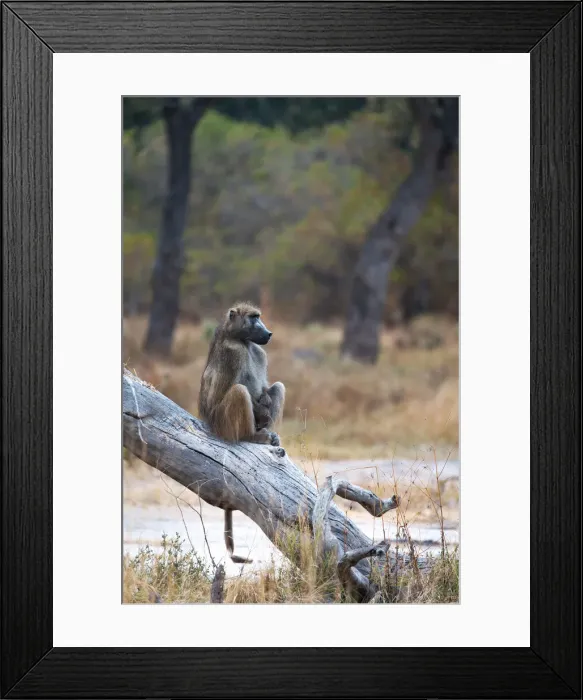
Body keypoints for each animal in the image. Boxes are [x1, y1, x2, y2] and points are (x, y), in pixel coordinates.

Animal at [198, 302, 286, 564]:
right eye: (253, 318)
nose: (268, 333)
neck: (242, 341)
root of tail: (210, 425)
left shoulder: (259, 352)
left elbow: (267, 389)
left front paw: (266, 402)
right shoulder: (233, 354)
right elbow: (228, 390)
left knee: (278, 387)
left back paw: (269, 434)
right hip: (224, 423)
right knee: (238, 391)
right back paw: (254, 437)